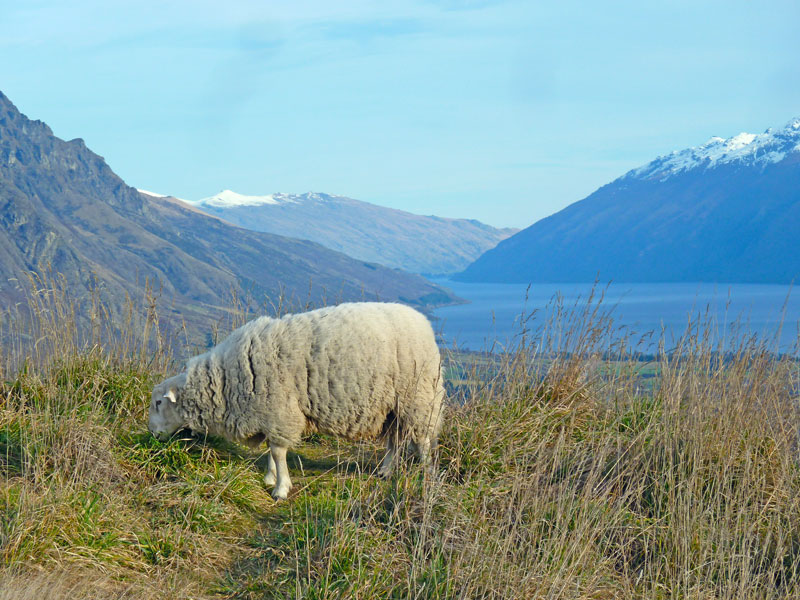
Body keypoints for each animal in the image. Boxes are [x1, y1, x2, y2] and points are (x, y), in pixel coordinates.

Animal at [148, 302, 445, 499]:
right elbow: (272, 450)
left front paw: (281, 488)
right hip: (392, 407)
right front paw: (270, 478)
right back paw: (385, 471)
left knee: (422, 442)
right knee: (396, 440)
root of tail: (424, 324)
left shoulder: (279, 410)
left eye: (159, 403)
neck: (226, 379)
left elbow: (278, 452)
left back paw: (428, 477)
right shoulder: (269, 414)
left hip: (418, 398)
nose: (152, 434)